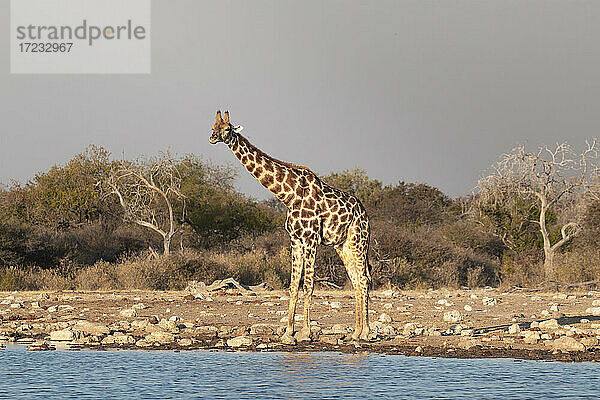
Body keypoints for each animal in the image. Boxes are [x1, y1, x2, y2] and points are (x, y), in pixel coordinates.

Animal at [210, 111, 370, 342]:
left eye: (227, 128)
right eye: (213, 126)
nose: (212, 137)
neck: (289, 195)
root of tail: (365, 213)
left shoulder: (311, 239)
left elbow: (309, 286)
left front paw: (305, 333)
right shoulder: (295, 240)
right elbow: (294, 286)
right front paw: (288, 332)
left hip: (359, 240)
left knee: (364, 279)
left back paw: (367, 332)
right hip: (343, 245)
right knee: (357, 280)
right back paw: (356, 332)